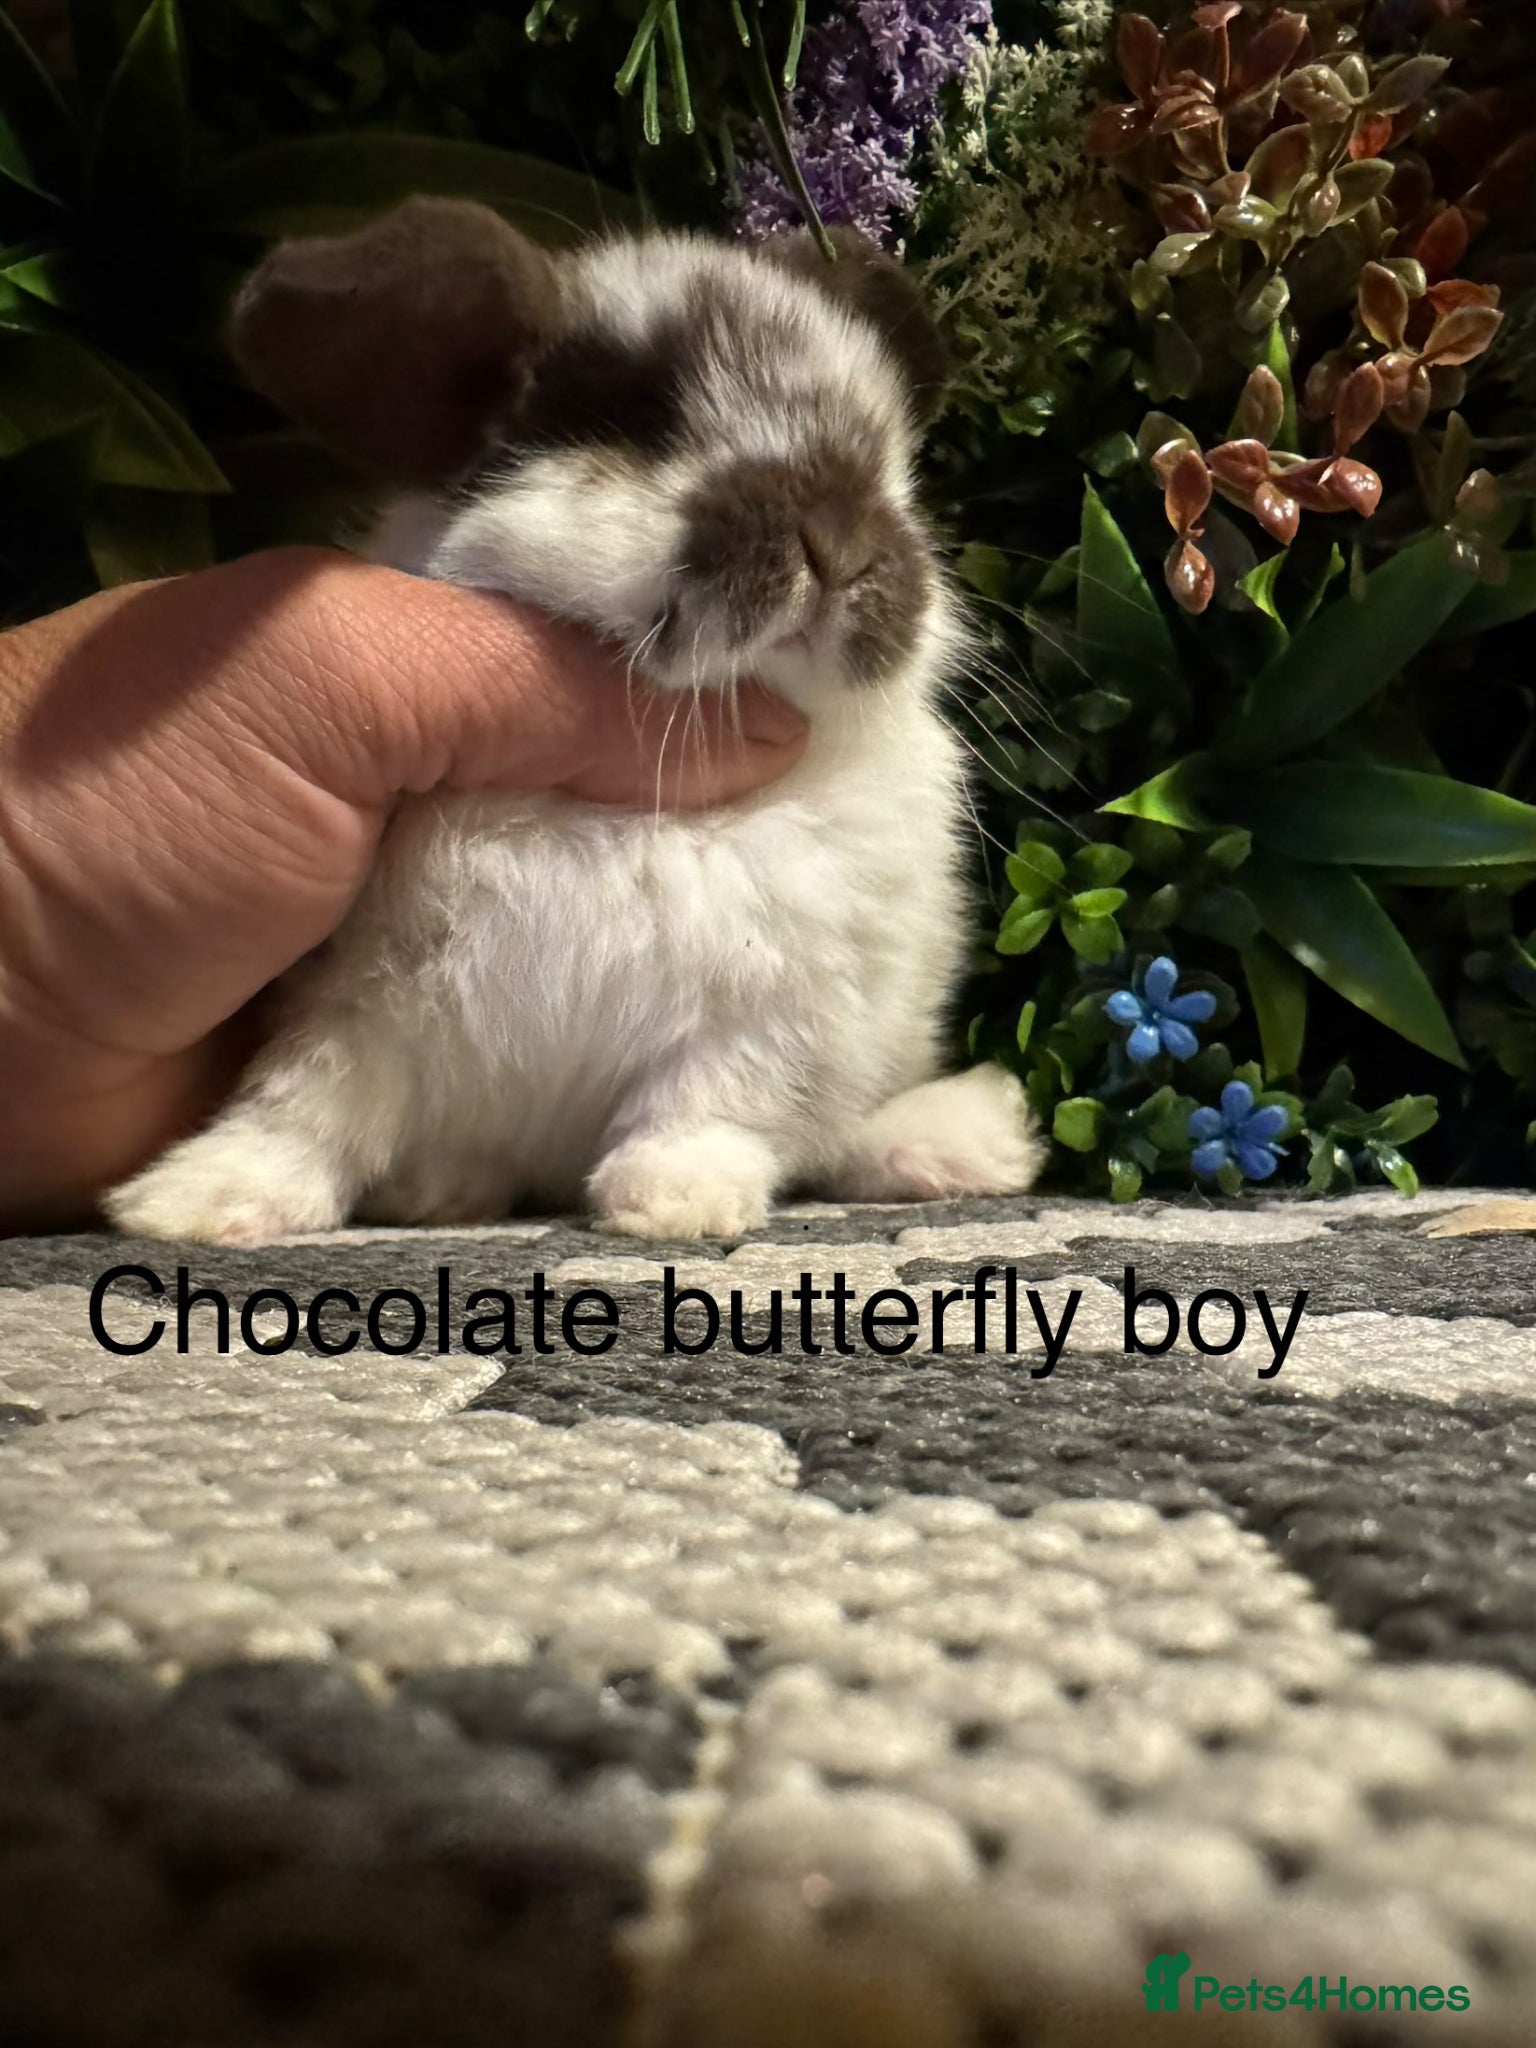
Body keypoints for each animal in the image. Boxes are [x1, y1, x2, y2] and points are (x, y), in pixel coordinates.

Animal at [104, 199, 1042, 1246]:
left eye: (888, 461)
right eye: (641, 422)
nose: (841, 542)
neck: (648, 799)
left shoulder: (778, 1010)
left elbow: (715, 1101)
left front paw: (674, 1202)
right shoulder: (350, 996)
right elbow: (305, 1104)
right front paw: (195, 1202)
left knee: (843, 1134)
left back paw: (965, 1140)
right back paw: (437, 1190)